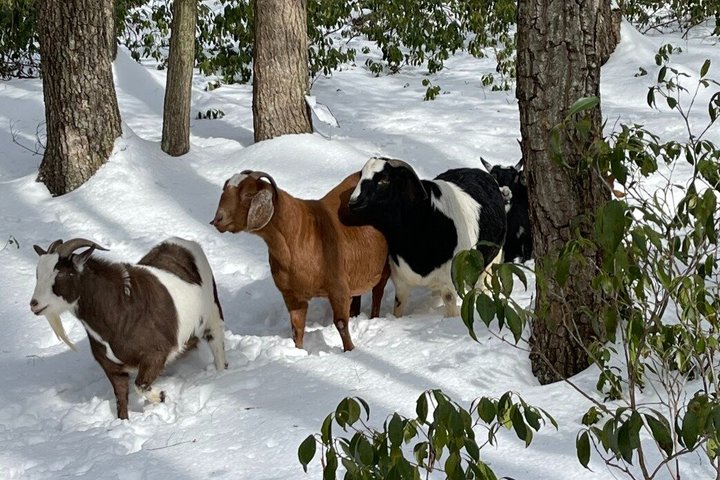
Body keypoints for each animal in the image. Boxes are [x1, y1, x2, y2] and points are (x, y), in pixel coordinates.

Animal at [30, 237, 227, 420]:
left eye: (62, 274)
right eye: (38, 274)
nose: (34, 304)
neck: (120, 312)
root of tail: (186, 243)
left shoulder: (155, 354)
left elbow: (140, 385)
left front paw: (161, 396)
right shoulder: (112, 368)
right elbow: (121, 398)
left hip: (212, 313)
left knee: (217, 343)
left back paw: (222, 373)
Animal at [211, 170, 389, 352]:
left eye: (248, 194)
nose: (217, 219)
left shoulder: (338, 287)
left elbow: (340, 323)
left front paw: (350, 350)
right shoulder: (292, 294)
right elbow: (297, 327)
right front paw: (298, 351)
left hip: (384, 268)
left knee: (378, 292)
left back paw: (374, 318)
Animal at [348, 157, 506, 317]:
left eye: (384, 179)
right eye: (361, 175)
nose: (353, 202)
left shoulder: (449, 282)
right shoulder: (401, 282)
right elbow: (398, 307)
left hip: (492, 259)